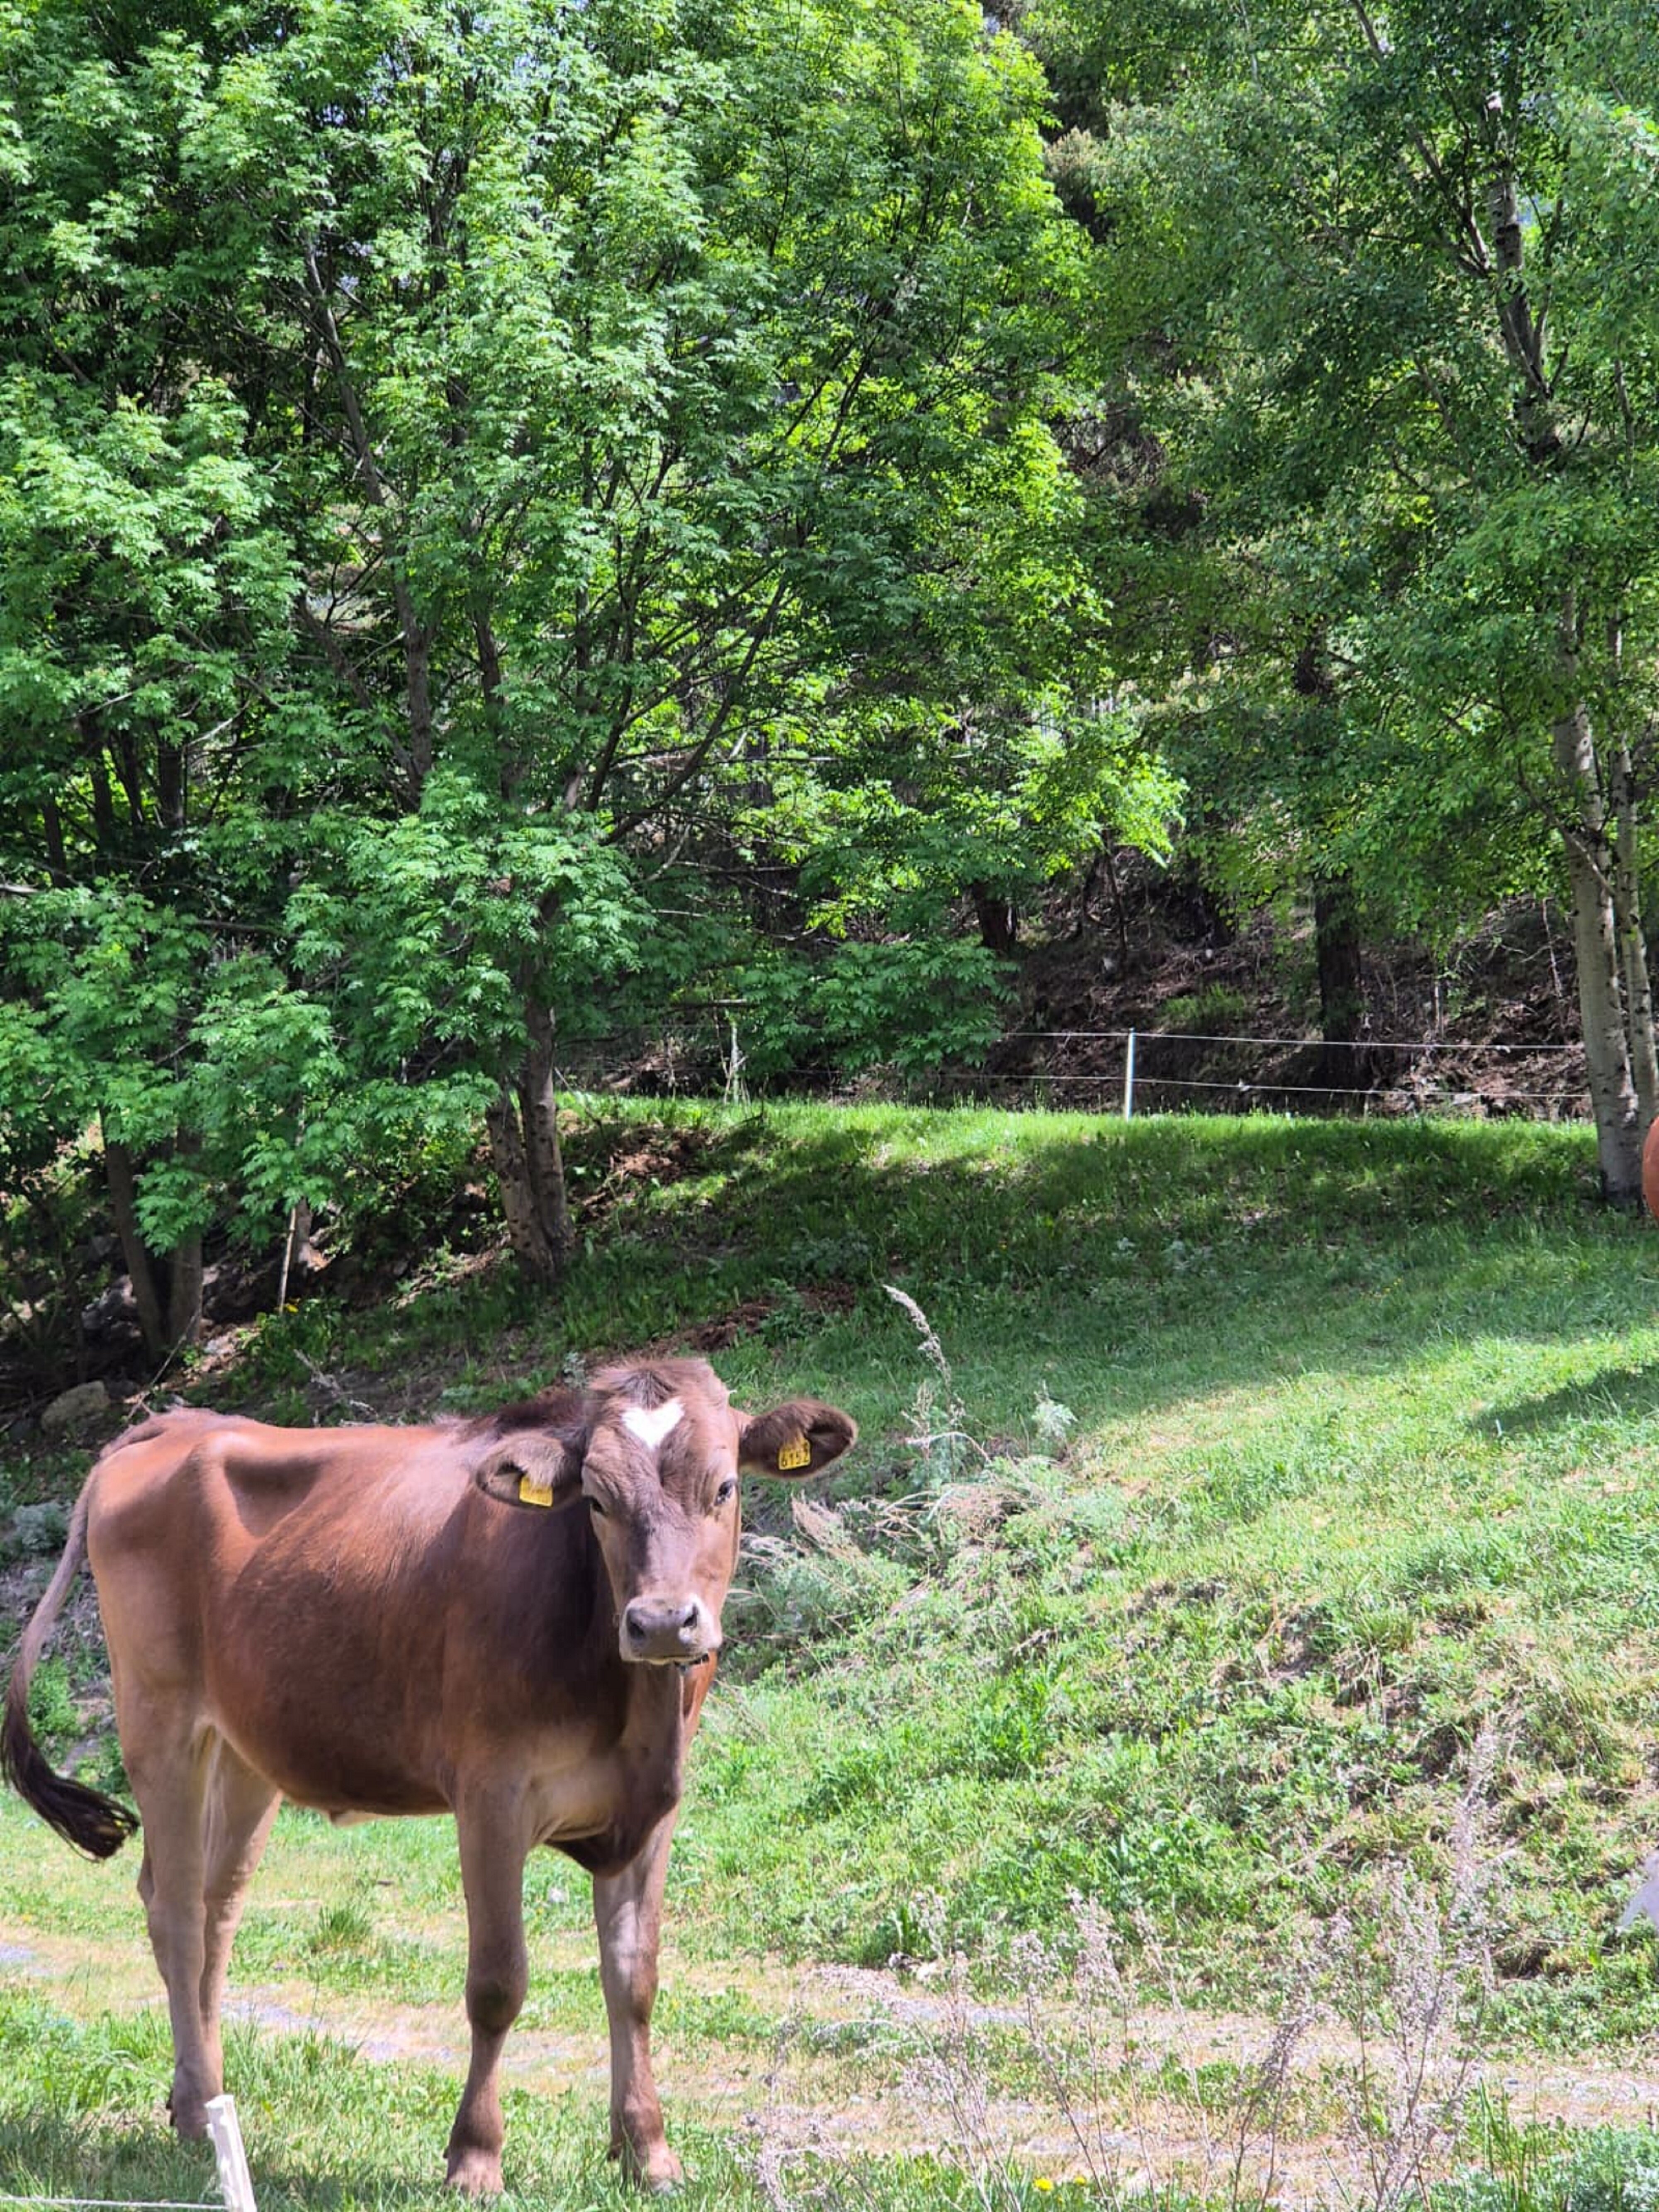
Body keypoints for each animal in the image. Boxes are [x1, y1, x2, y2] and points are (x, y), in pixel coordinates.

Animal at [2, 1358, 856, 2195]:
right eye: (598, 1501)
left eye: (725, 1487)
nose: (661, 1622)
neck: (632, 1709)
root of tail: (176, 1423)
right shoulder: (490, 1795)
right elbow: (498, 1983)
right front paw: (475, 2158)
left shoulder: (652, 1811)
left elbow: (634, 1979)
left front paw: (648, 2151)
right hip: (159, 1717)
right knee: (175, 1909)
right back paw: (198, 2115)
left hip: (245, 1749)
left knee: (217, 1908)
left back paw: (202, 2100)